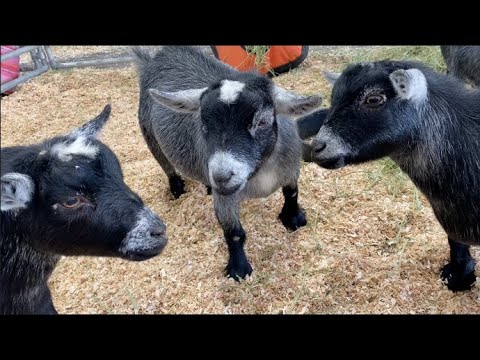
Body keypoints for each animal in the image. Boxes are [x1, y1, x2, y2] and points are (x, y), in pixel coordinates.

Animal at [133, 45, 324, 282]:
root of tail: (154, 59)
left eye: (262, 122)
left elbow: (292, 192)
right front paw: (239, 269)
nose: (221, 176)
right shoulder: (225, 197)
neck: (261, 172)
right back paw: (177, 190)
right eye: (204, 124)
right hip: (148, 133)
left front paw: (294, 219)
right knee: (167, 166)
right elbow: (233, 233)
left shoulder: (291, 168)